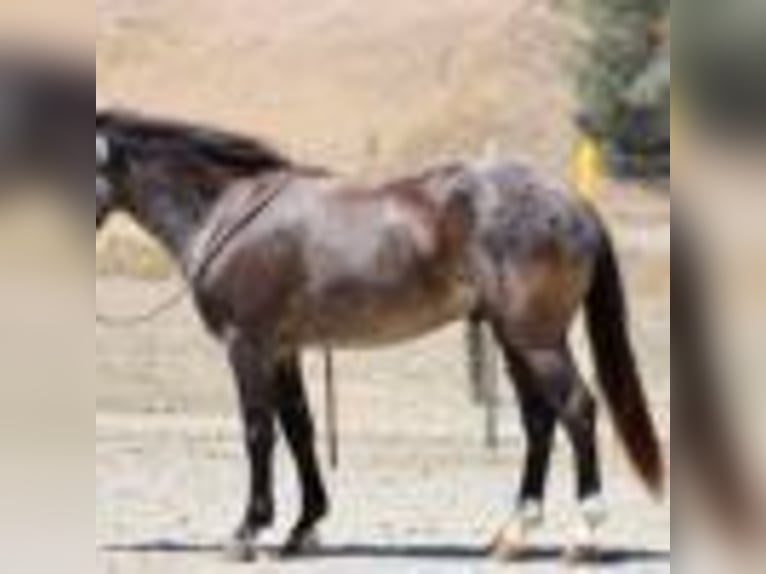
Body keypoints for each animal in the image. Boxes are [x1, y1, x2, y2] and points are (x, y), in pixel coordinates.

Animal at [96, 108, 664, 560]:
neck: (228, 211)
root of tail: (573, 204)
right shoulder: (283, 350)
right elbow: (299, 429)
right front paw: (303, 528)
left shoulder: (248, 345)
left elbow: (259, 432)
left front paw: (248, 531)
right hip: (514, 340)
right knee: (540, 422)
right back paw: (512, 536)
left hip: (538, 340)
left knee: (578, 410)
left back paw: (583, 537)